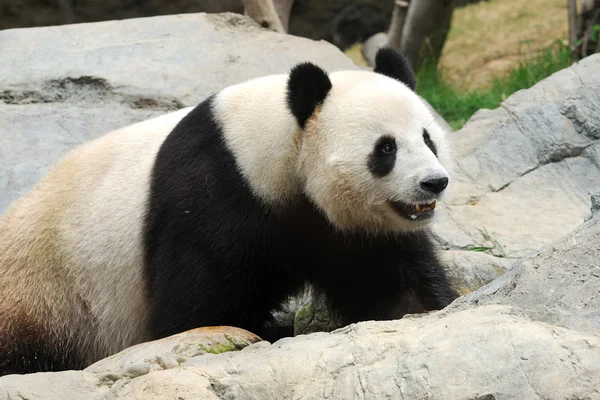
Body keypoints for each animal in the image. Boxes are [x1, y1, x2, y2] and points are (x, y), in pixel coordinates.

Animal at [0, 47, 458, 376]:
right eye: (385, 148)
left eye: (428, 138)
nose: (434, 182)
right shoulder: (214, 194)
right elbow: (195, 307)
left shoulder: (348, 229)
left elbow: (391, 282)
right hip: (46, 289)